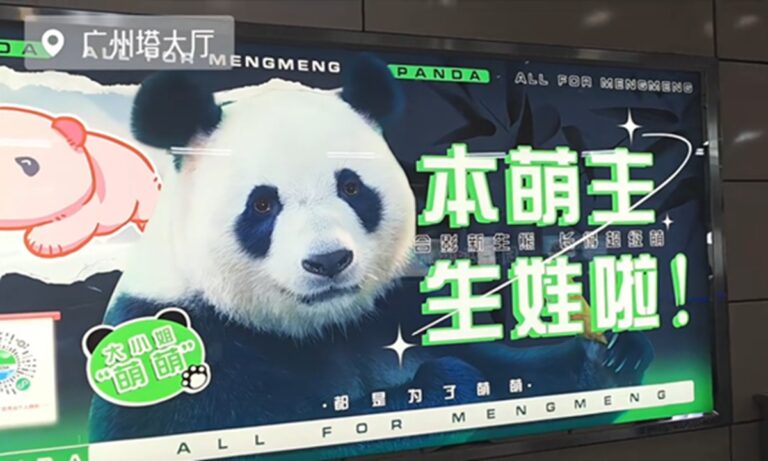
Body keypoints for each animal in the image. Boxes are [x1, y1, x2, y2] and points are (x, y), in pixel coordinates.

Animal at [89, 55, 654, 459]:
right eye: (263, 204)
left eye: (352, 187)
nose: (328, 261)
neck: (325, 327)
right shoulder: (190, 346)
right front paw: (447, 384)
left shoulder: (403, 302)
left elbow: (521, 374)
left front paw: (613, 351)